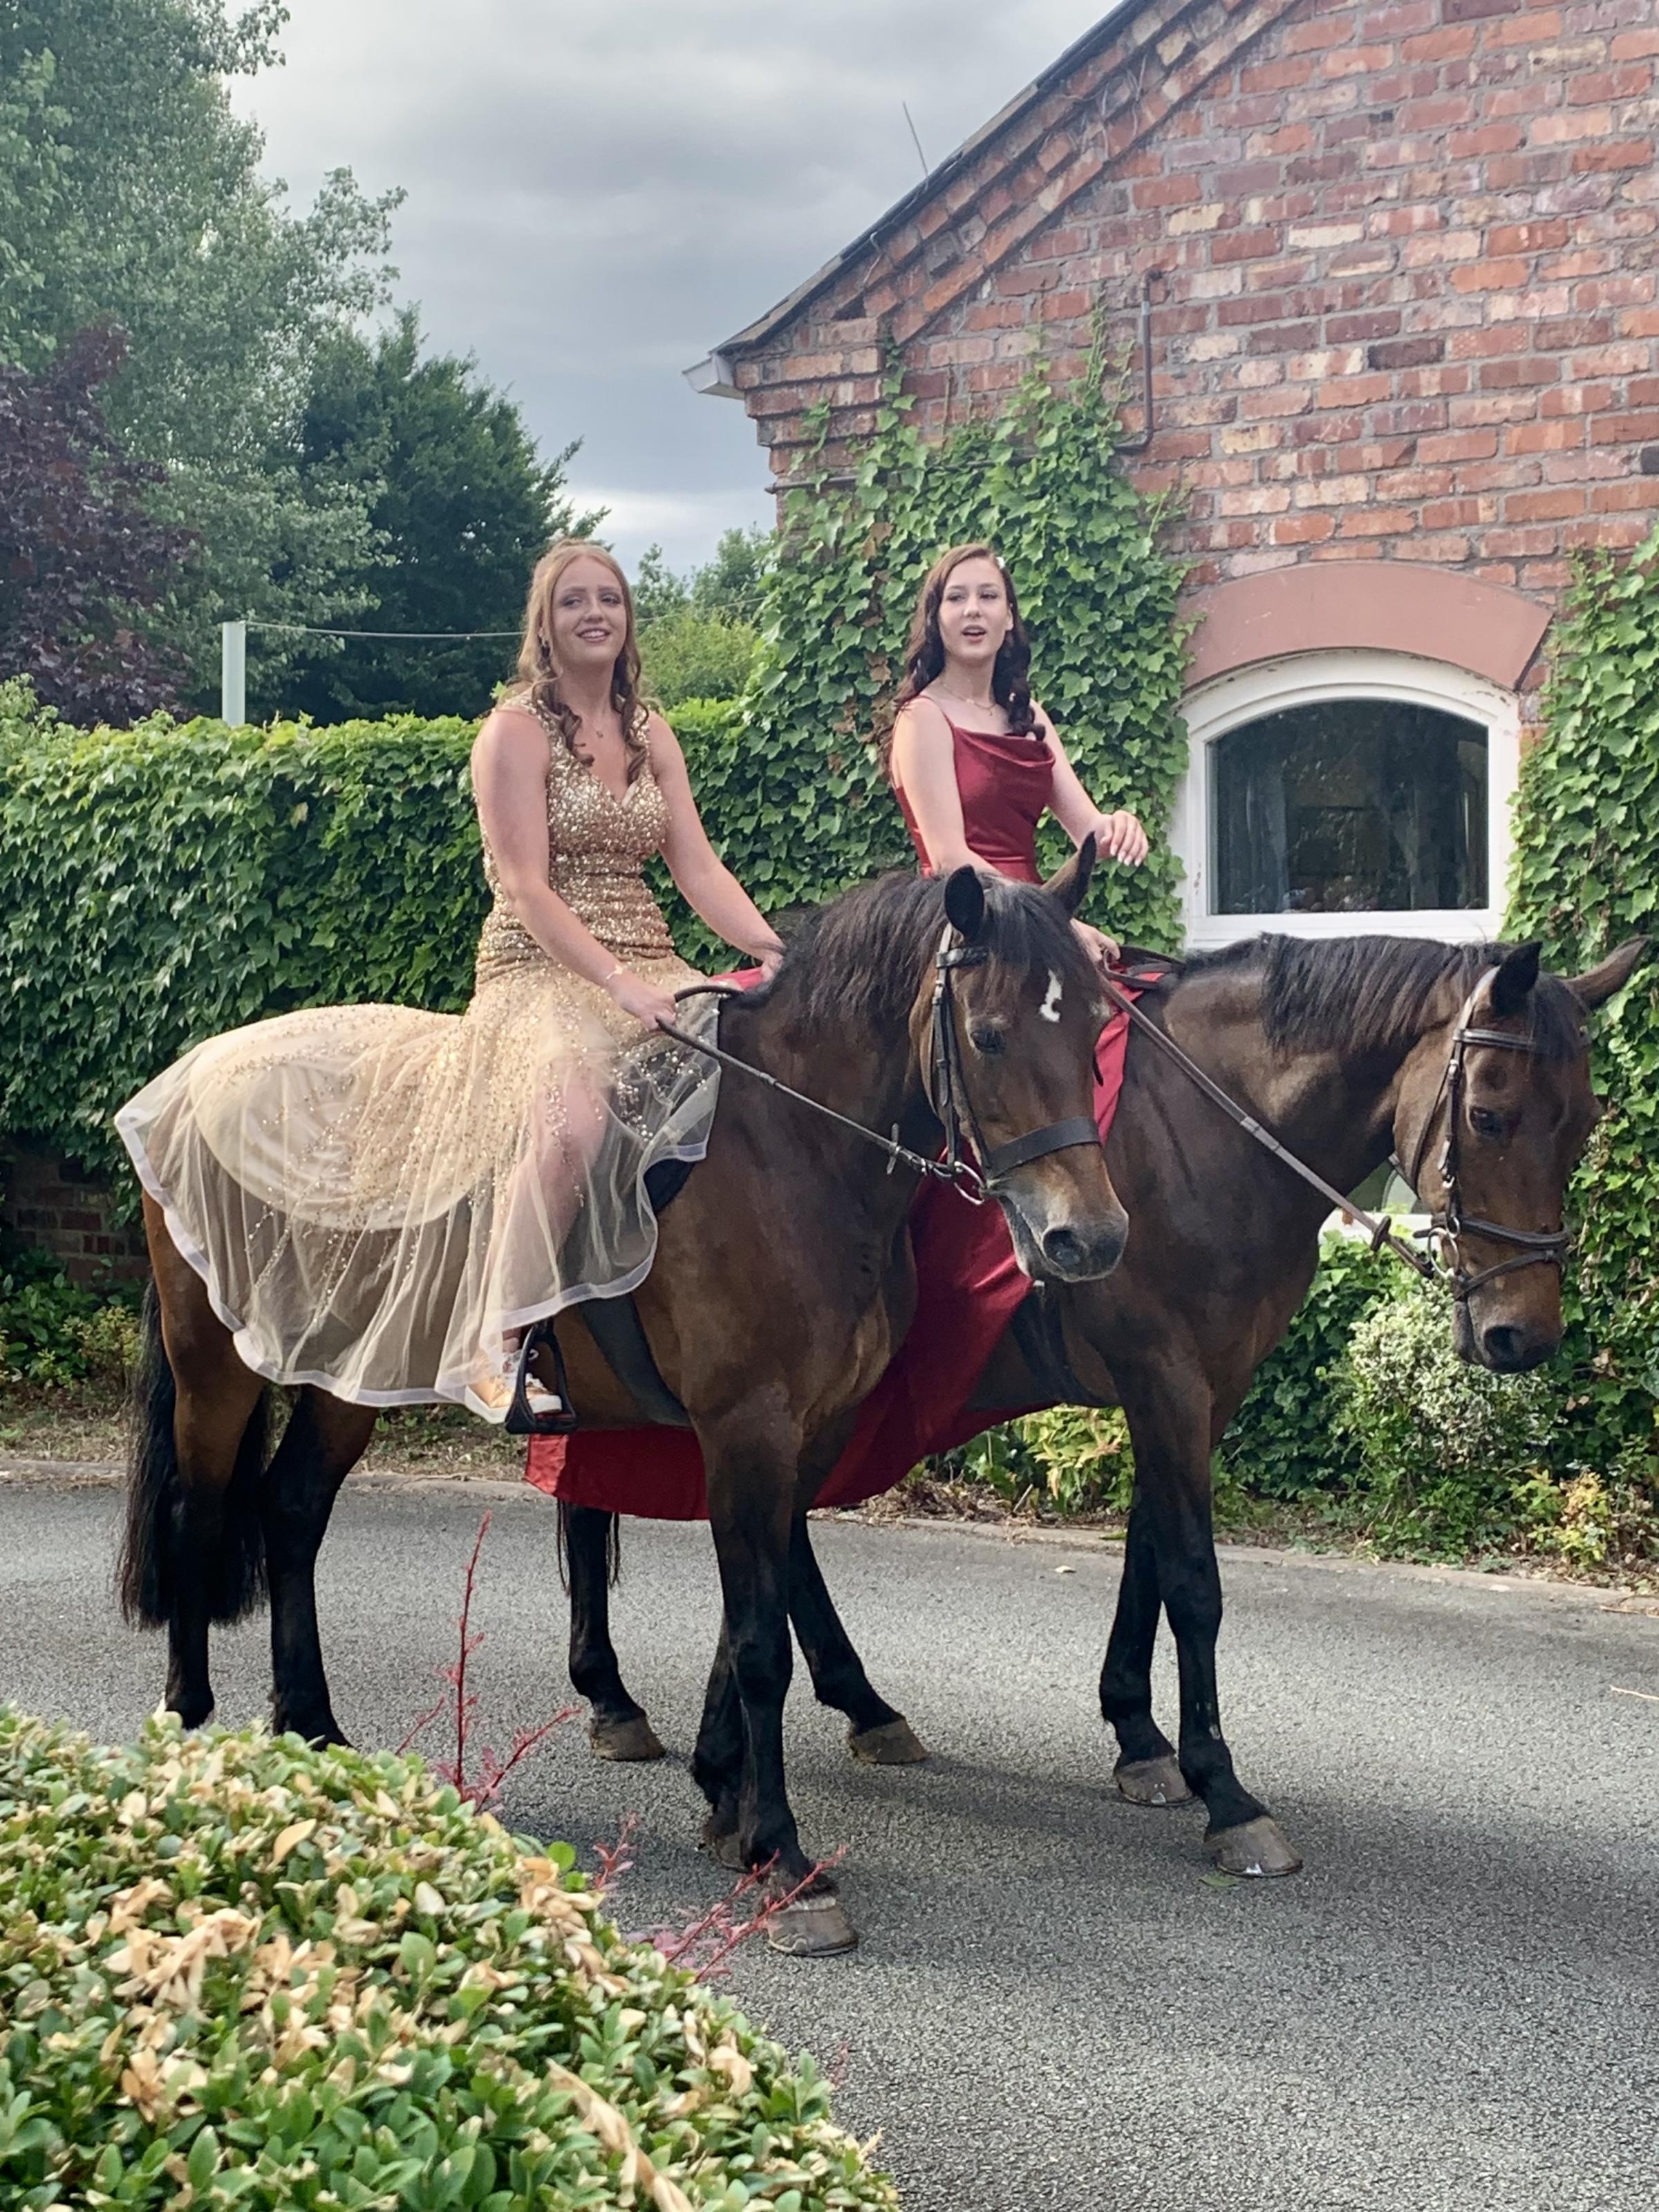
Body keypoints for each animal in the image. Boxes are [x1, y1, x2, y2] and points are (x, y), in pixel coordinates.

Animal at [117, 854, 1132, 1947]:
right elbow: (761, 1640)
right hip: (216, 1364)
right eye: (990, 1034)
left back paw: (312, 1725)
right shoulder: (746, 1429)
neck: (791, 1150)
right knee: (199, 1511)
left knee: (293, 1509)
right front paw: (783, 1855)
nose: (1090, 1238)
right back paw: (189, 1722)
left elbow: (754, 1616)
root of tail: (197, 1071)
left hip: (351, 1371)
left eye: (1092, 1029)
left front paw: (729, 1804)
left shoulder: (807, 1433)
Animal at [561, 933, 1654, 1884]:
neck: (1206, 1135)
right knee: (601, 1503)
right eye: (1493, 1117)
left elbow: (1149, 1556)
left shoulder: (1202, 1388)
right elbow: (1195, 1581)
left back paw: (836, 1709)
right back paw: (618, 1697)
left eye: (1587, 1122)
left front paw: (1140, 1733)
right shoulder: (1165, 1377)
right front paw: (1226, 1791)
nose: (1524, 1335)